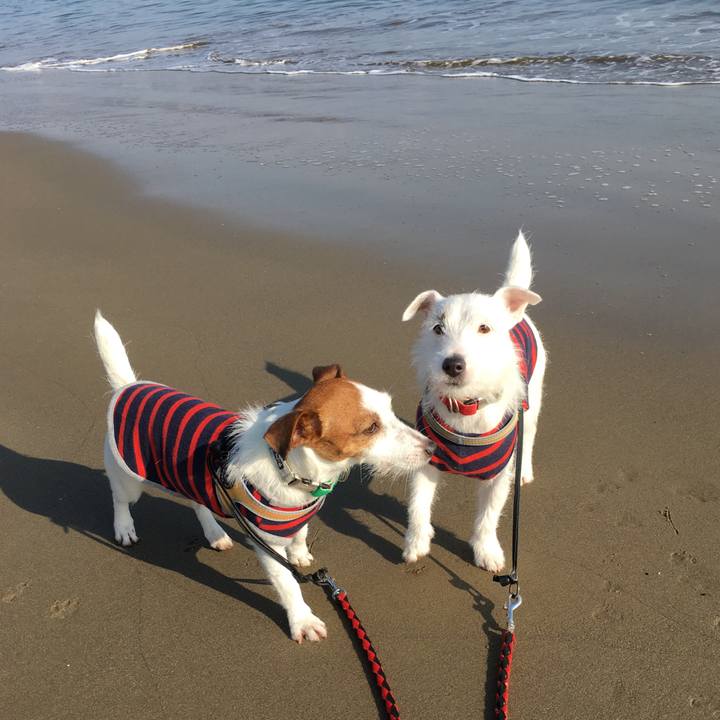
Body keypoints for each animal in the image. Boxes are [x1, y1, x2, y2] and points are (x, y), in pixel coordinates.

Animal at [94, 311, 432, 642]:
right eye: (371, 428)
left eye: (389, 409)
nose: (432, 447)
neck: (293, 469)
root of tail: (127, 387)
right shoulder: (266, 541)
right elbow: (288, 583)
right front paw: (302, 620)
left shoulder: (296, 516)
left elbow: (300, 535)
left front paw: (299, 554)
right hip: (130, 477)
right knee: (118, 497)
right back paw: (124, 527)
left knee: (196, 502)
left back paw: (215, 534)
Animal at [400, 231, 546, 572]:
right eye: (437, 328)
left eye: (484, 328)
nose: (452, 365)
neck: (465, 406)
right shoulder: (428, 460)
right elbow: (418, 504)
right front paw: (416, 541)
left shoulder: (497, 477)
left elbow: (489, 515)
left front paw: (486, 550)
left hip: (532, 402)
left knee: (529, 435)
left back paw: (525, 469)